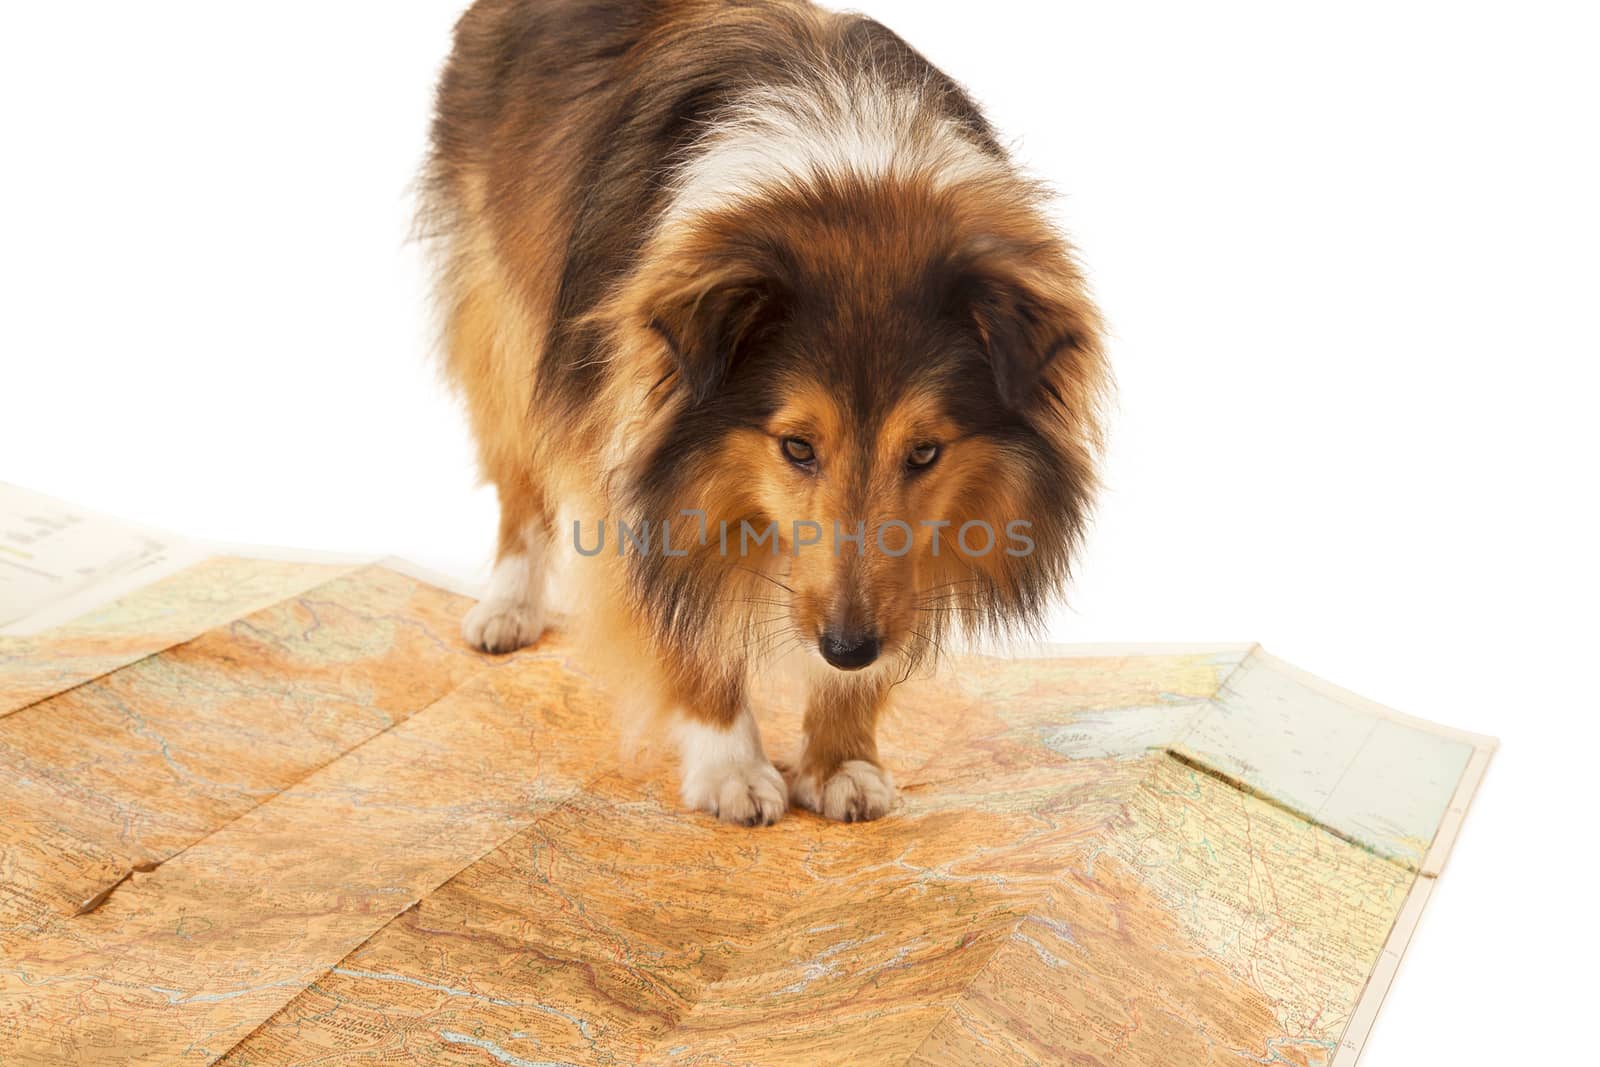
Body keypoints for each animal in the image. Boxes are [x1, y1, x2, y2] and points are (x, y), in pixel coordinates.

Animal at [419, 0, 1107, 825]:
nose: (847, 648)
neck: (850, 179)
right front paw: (732, 766)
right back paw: (506, 608)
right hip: (506, 315)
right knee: (521, 481)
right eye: (797, 446)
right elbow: (680, 618)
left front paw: (842, 756)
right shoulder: (628, 445)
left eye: (925, 452)